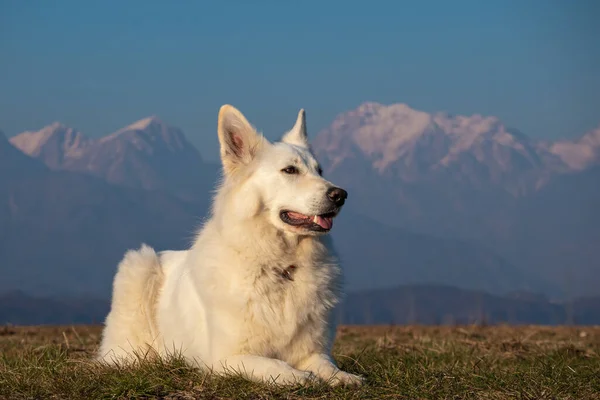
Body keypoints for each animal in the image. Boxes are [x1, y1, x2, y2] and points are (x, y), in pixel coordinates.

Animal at [98, 104, 360, 386]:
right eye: (290, 170)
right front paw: (299, 376)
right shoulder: (228, 358)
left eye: (320, 171)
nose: (341, 195)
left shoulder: (312, 350)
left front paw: (344, 376)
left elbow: (326, 365)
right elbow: (274, 365)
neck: (280, 266)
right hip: (140, 266)